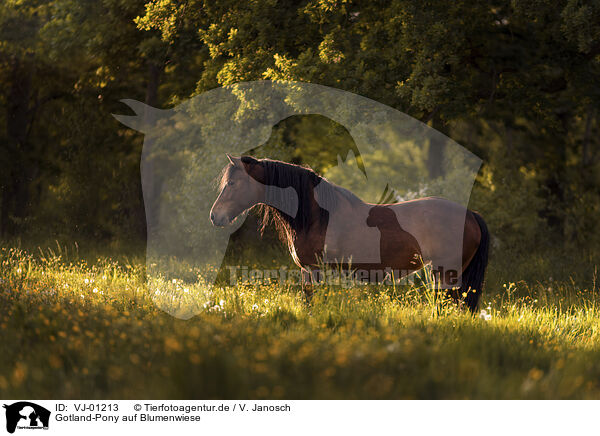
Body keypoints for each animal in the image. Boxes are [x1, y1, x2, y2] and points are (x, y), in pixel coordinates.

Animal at [210, 155, 488, 312]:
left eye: (232, 183)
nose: (215, 216)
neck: (317, 215)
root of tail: (471, 214)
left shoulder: (315, 269)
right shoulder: (307, 271)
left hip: (447, 273)